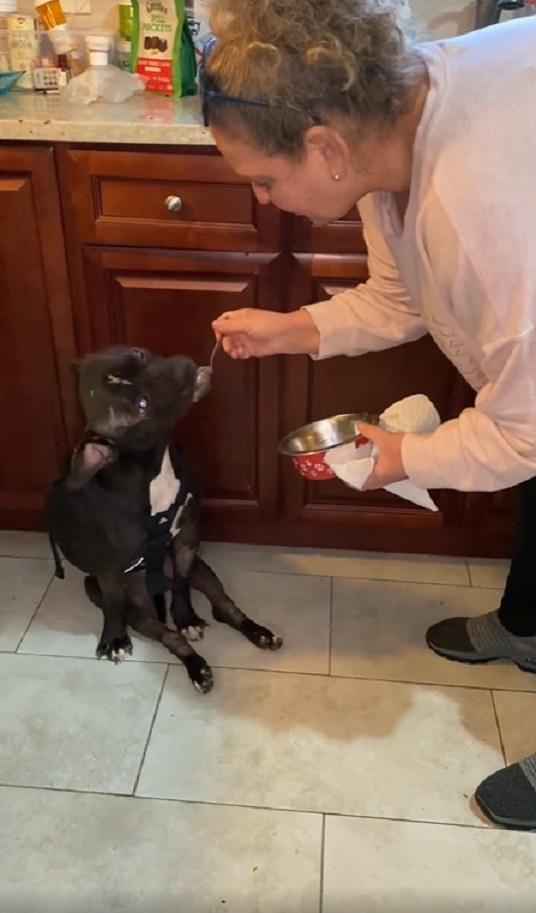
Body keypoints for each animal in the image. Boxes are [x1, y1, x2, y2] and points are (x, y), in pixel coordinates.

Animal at [48, 346, 282, 696]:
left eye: (138, 354)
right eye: (141, 405)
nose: (183, 366)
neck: (154, 469)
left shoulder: (187, 539)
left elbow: (183, 587)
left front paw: (186, 617)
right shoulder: (108, 571)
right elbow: (115, 605)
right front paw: (115, 640)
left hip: (204, 569)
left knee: (224, 607)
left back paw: (258, 633)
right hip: (109, 595)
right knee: (166, 635)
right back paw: (198, 668)